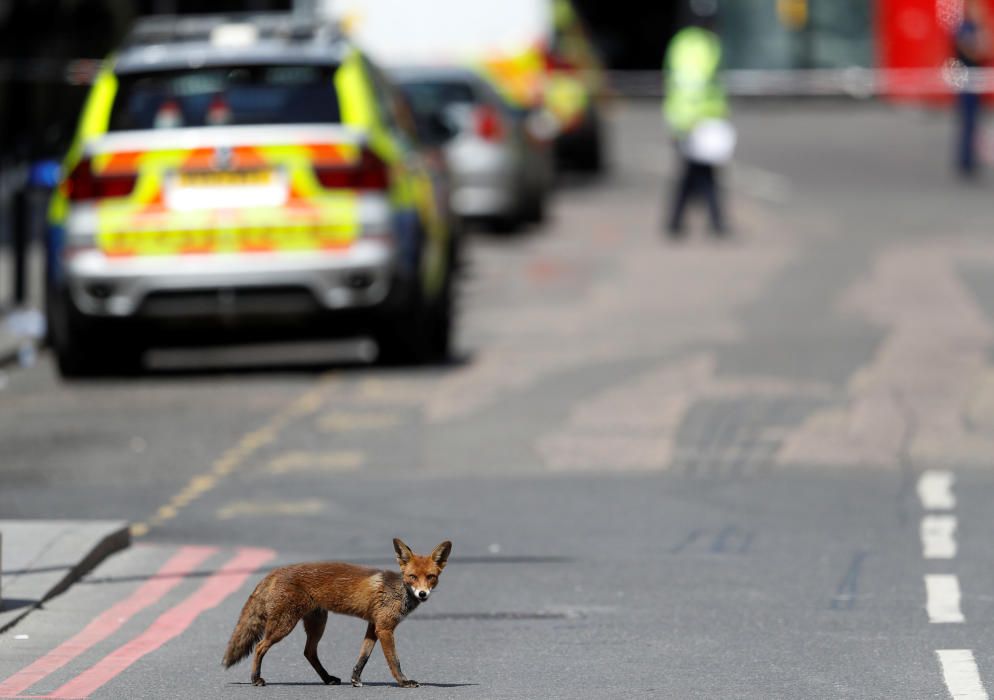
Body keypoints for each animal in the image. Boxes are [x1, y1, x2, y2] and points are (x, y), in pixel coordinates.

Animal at [223, 540, 452, 688]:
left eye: (431, 577)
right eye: (412, 576)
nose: (422, 594)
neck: (397, 590)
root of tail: (276, 571)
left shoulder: (373, 626)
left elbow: (363, 656)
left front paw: (355, 679)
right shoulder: (385, 628)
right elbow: (394, 660)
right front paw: (404, 682)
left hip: (317, 624)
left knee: (308, 652)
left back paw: (327, 679)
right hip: (284, 625)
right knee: (260, 647)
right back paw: (255, 679)